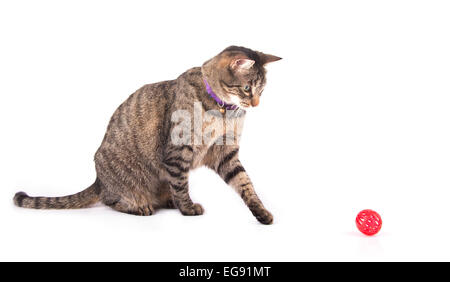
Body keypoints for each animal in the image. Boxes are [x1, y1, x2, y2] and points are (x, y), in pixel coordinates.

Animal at [12, 46, 282, 225]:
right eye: (247, 88)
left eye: (261, 90)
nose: (256, 104)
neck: (223, 111)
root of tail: (99, 180)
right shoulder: (178, 151)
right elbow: (181, 184)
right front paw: (187, 208)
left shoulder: (225, 152)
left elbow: (245, 183)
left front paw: (261, 211)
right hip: (124, 181)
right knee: (112, 200)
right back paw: (140, 206)